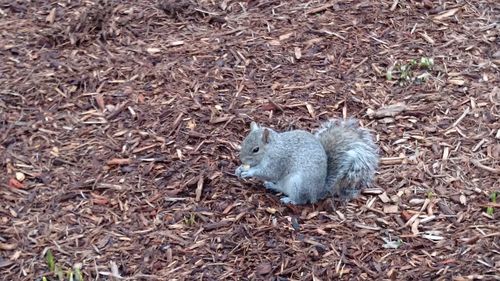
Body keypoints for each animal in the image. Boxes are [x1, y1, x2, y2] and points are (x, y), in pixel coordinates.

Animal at [234, 117, 378, 205]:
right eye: (244, 141)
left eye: (256, 149)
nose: (242, 159)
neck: (273, 147)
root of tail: (318, 191)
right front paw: (240, 168)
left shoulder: (279, 160)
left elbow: (270, 172)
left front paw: (249, 172)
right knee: (281, 187)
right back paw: (272, 186)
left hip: (298, 184)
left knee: (301, 200)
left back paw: (289, 200)